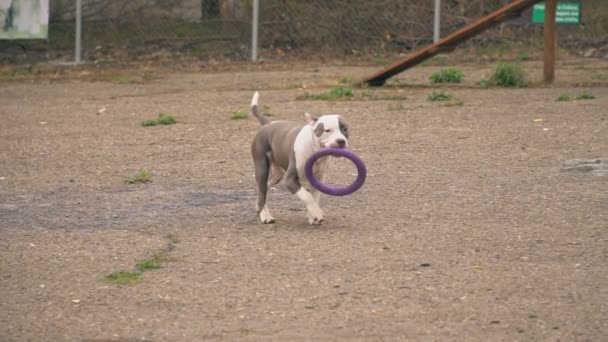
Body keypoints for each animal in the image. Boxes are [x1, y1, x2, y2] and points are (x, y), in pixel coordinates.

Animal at [249, 91, 350, 224]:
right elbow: (307, 196)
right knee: (262, 191)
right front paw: (316, 214)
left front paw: (312, 216)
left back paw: (258, 208)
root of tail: (268, 124)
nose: (341, 141)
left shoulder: (318, 179)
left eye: (345, 129)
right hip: (262, 168)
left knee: (265, 188)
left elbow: (314, 197)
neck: (313, 148)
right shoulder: (290, 180)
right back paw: (265, 216)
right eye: (327, 130)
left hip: (277, 175)